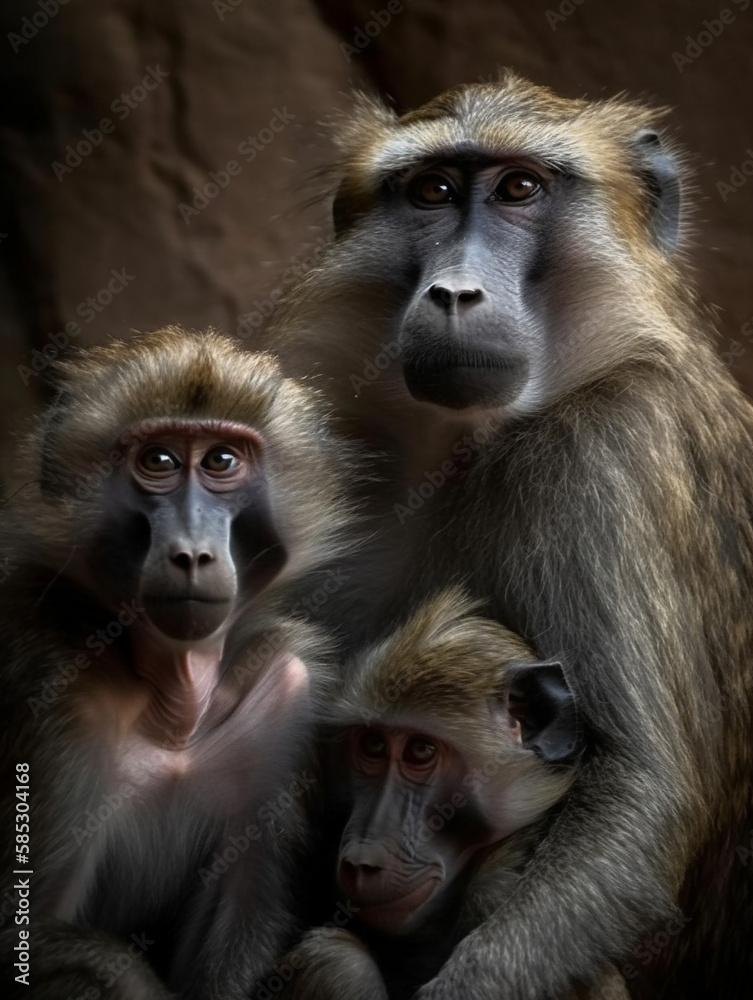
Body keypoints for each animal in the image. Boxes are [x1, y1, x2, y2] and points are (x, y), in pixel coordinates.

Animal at [0, 327, 356, 1000]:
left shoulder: (287, 695)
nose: (192, 552)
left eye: (221, 462)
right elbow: (31, 938)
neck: (176, 706)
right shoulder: (56, 693)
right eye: (159, 462)